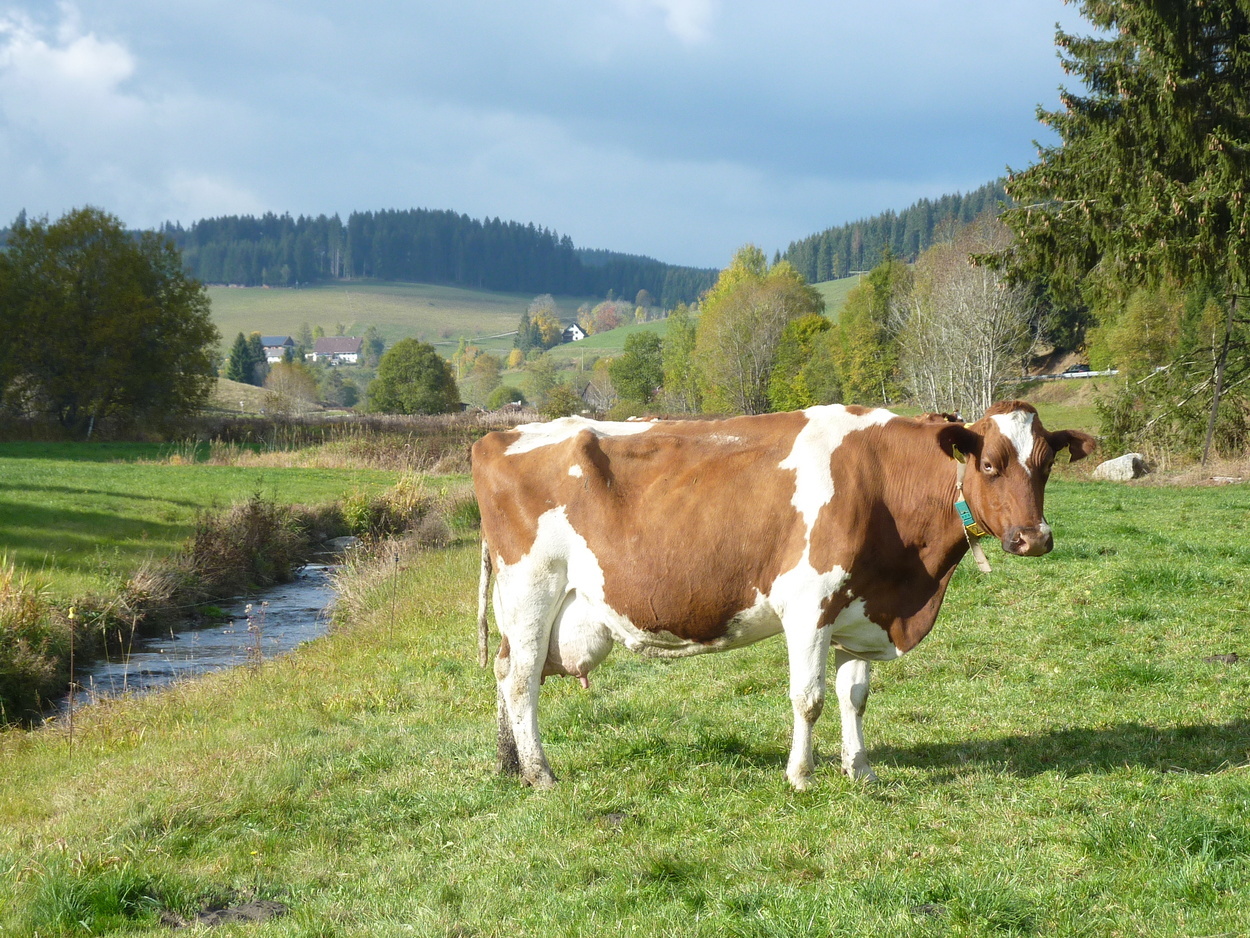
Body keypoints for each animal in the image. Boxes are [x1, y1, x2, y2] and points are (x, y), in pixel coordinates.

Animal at [471, 401, 1095, 789]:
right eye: (989, 464)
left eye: (1045, 467)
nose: (1034, 538)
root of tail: (499, 435)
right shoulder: (809, 604)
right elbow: (808, 698)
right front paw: (800, 774)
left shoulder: (858, 609)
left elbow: (854, 695)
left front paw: (859, 769)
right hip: (532, 592)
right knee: (521, 678)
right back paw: (541, 773)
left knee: (504, 670)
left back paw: (509, 765)